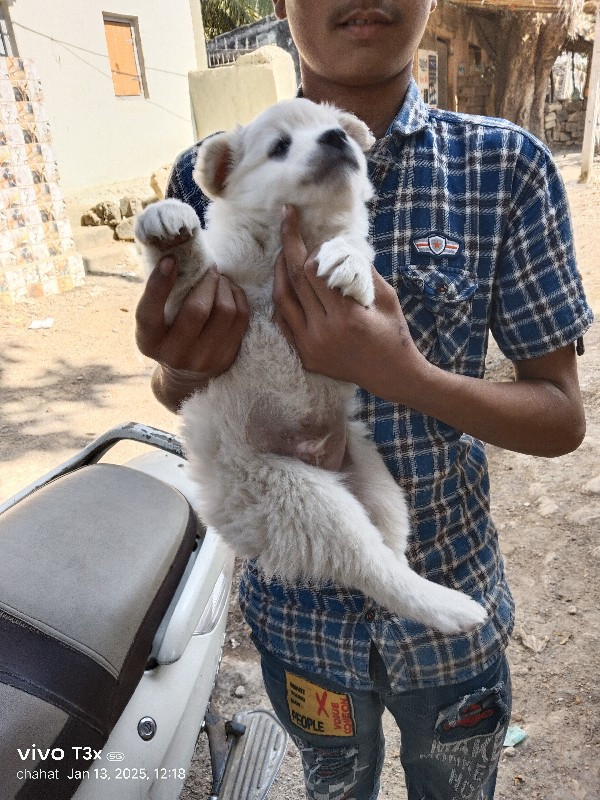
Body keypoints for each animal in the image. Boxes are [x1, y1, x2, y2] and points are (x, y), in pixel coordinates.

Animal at [134, 100, 486, 636]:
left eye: (338, 128)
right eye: (279, 146)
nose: (337, 138)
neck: (286, 244)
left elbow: (354, 247)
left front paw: (347, 262)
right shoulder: (200, 296)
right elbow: (190, 273)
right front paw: (169, 224)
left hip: (373, 482)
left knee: (386, 557)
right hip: (297, 495)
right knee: (369, 561)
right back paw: (453, 608)